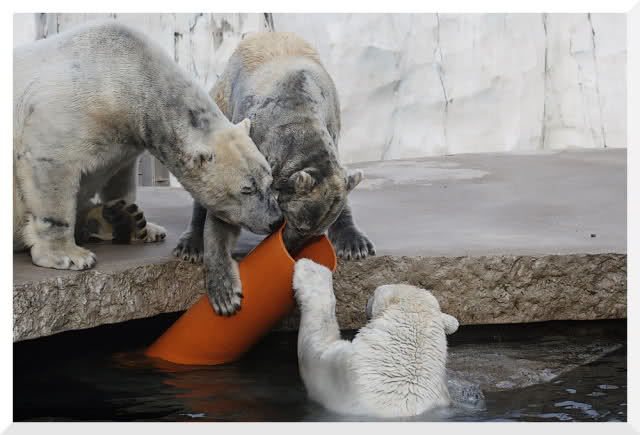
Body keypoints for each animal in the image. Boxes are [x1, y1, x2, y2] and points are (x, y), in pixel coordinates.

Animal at [13, 21, 283, 315]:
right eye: (246, 189)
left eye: (269, 181)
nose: (275, 220)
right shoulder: (67, 112)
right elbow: (53, 163)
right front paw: (69, 256)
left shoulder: (123, 135)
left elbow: (120, 175)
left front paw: (137, 220)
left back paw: (118, 220)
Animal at [174, 32, 376, 300]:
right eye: (298, 224)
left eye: (315, 234)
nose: (290, 248)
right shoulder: (251, 141)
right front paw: (224, 285)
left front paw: (355, 245)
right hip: (221, 99)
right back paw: (191, 246)